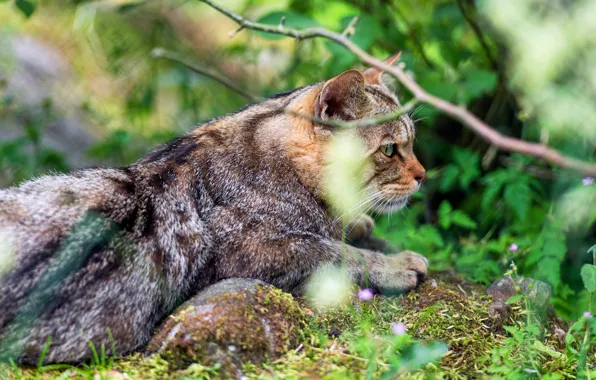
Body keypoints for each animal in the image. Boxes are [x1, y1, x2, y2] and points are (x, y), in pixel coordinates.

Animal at [0, 55, 428, 364]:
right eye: (391, 149)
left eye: (411, 143)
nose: (423, 174)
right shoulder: (250, 250)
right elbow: (335, 252)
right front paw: (394, 263)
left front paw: (355, 221)